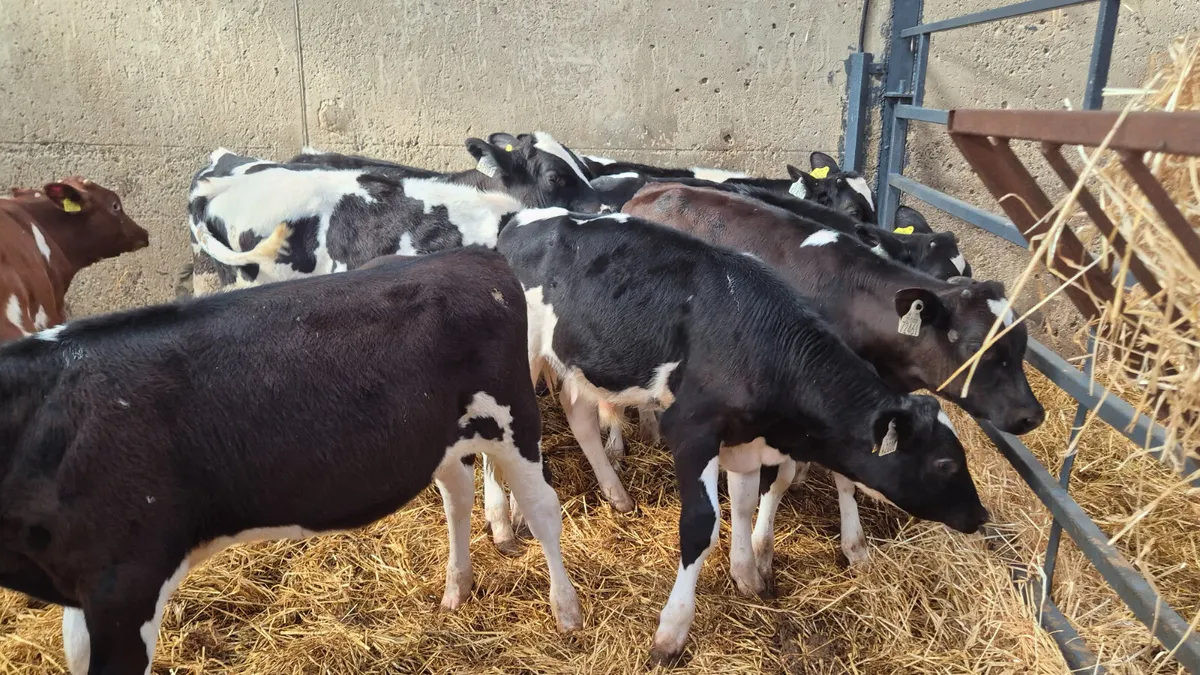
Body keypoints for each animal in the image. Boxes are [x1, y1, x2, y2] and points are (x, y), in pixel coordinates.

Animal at [0, 247, 582, 675]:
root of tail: (477, 254)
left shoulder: (125, 585)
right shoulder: (81, 586)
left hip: (512, 415)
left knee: (542, 508)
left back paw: (567, 612)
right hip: (441, 435)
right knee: (457, 495)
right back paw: (456, 590)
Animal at [491, 208, 988, 662]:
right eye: (945, 463)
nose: (981, 515)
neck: (761, 343)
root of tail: (519, 220)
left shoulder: (745, 441)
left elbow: (746, 504)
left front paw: (747, 574)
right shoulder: (692, 432)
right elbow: (700, 526)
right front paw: (671, 633)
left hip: (571, 362)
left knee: (579, 416)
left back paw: (615, 494)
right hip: (517, 366)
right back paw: (508, 529)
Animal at [619, 183, 1042, 562]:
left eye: (1022, 343)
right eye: (976, 347)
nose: (1032, 415)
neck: (852, 297)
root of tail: (653, 190)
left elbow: (847, 476)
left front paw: (853, 543)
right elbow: (780, 479)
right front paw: (762, 546)